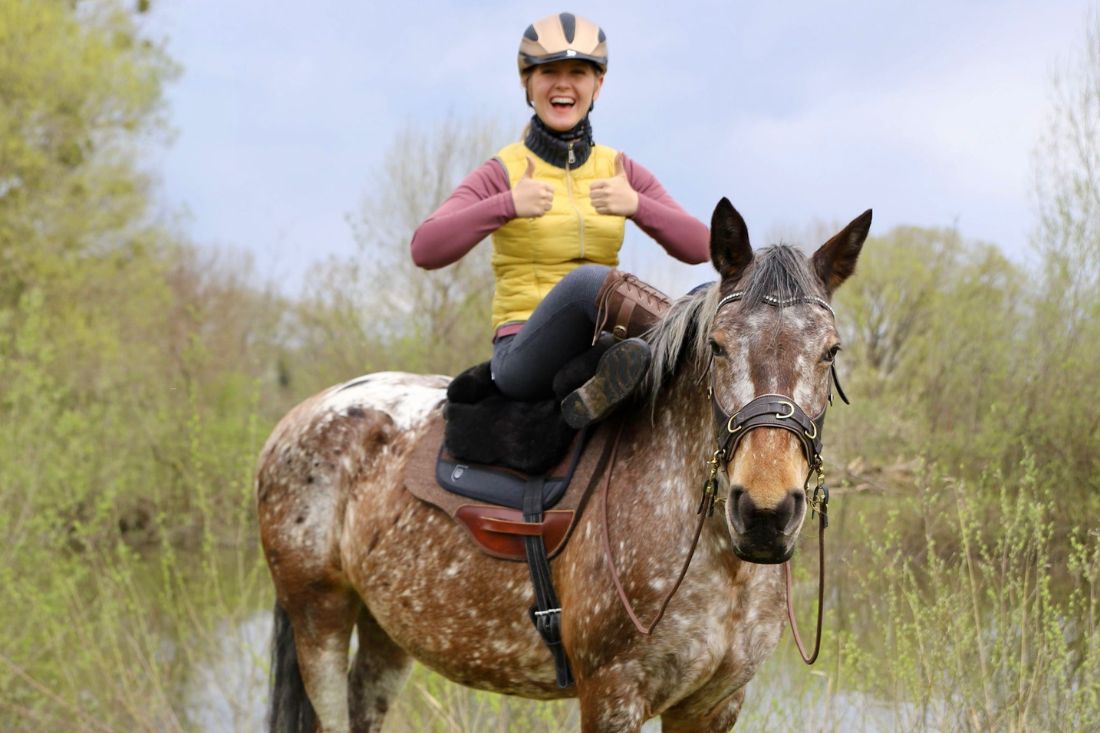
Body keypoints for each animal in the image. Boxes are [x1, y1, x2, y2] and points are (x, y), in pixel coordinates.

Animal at [255, 195, 866, 730]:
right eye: (716, 346)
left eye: (830, 351)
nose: (764, 513)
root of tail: (298, 417)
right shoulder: (611, 697)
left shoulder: (714, 706)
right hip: (319, 617)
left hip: (385, 631)